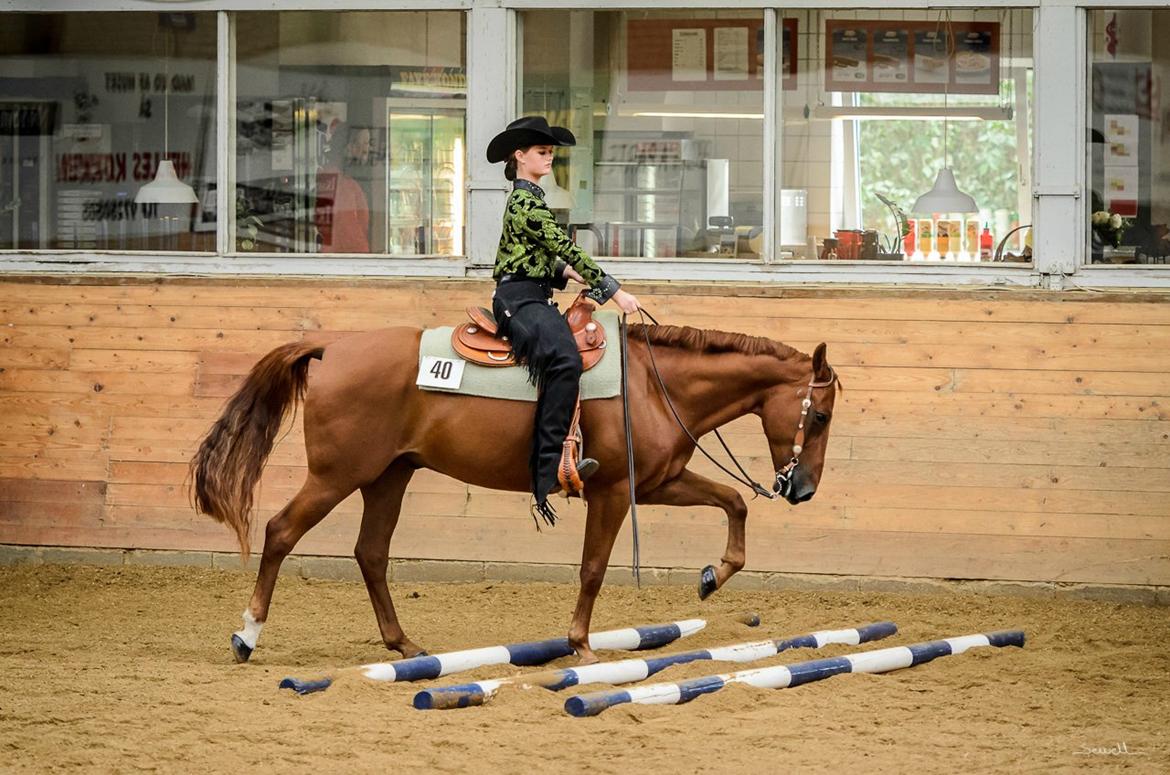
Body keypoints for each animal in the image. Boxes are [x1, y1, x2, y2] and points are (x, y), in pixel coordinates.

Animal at [189, 320, 842, 669]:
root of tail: (331, 348)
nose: (804, 489)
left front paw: (712, 577)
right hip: (336, 476)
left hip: (389, 476)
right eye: (822, 414)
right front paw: (580, 645)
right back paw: (246, 637)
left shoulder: (656, 484)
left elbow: (734, 502)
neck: (655, 386)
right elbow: (593, 568)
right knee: (280, 532)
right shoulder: (613, 493)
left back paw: (404, 645)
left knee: (370, 553)